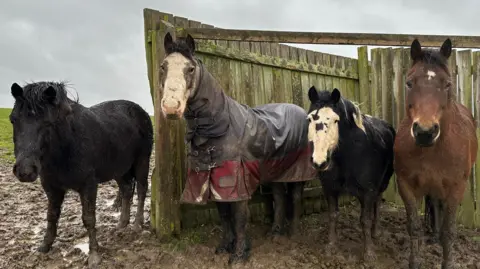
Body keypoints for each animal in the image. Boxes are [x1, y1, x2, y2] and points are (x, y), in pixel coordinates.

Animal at [9, 81, 153, 266]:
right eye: (13, 120)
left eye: (47, 123)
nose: (25, 171)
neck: (67, 144)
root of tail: (142, 112)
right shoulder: (52, 188)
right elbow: (51, 216)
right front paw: (44, 246)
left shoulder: (88, 186)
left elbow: (89, 218)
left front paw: (94, 254)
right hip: (120, 170)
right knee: (127, 189)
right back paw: (122, 224)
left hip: (142, 161)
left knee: (141, 189)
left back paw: (137, 224)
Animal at [394, 37, 476, 268]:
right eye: (409, 82)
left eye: (447, 84)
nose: (425, 132)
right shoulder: (406, 185)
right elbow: (414, 226)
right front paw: (415, 262)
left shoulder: (456, 188)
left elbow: (449, 231)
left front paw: (448, 262)